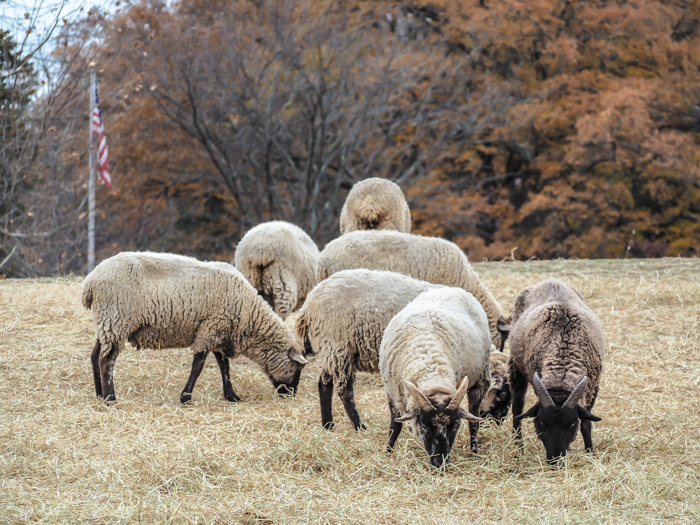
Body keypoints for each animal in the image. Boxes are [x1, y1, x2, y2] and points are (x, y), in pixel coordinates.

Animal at [81, 252, 306, 404]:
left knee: (95, 356)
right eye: (297, 368)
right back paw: (110, 398)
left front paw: (231, 395)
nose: (291, 395)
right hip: (116, 320)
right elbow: (198, 366)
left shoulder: (219, 331)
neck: (250, 317)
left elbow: (224, 366)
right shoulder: (211, 328)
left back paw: (99, 394)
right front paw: (186, 397)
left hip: (107, 323)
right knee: (106, 361)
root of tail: (90, 282)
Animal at [292, 268, 446, 428]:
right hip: (337, 346)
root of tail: (308, 304)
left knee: (324, 383)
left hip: (330, 350)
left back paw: (328, 424)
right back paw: (359, 426)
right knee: (344, 391)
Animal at [380, 286, 490, 466]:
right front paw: (388, 451)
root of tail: (453, 288)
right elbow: (394, 426)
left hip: (480, 380)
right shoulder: (391, 392)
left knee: (474, 421)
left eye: (455, 426)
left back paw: (474, 450)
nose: (440, 462)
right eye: (424, 426)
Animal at [506, 278, 604, 462]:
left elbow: (586, 423)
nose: (555, 460)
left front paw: (590, 452)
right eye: (541, 423)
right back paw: (518, 445)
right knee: (517, 407)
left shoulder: (592, 387)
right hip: (516, 367)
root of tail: (550, 280)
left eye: (572, 424)